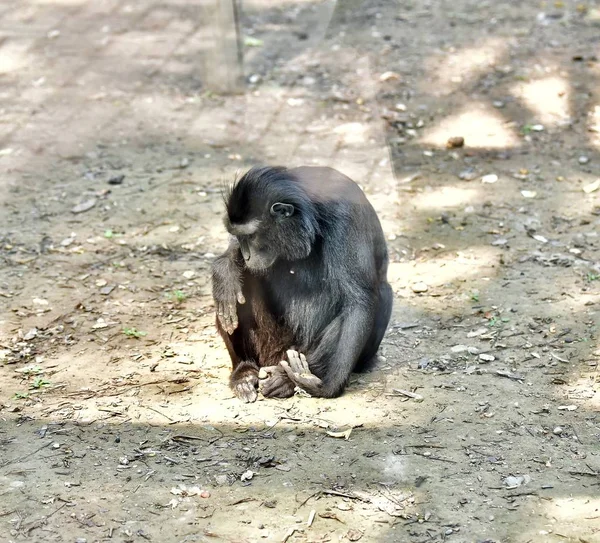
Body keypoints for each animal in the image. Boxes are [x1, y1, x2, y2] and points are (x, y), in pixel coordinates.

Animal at [211, 166, 394, 404]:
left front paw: (328, 386)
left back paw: (288, 379)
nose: (246, 255)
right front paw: (225, 269)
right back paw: (245, 372)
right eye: (238, 236)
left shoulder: (346, 217)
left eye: (250, 236)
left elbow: (358, 301)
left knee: (380, 294)